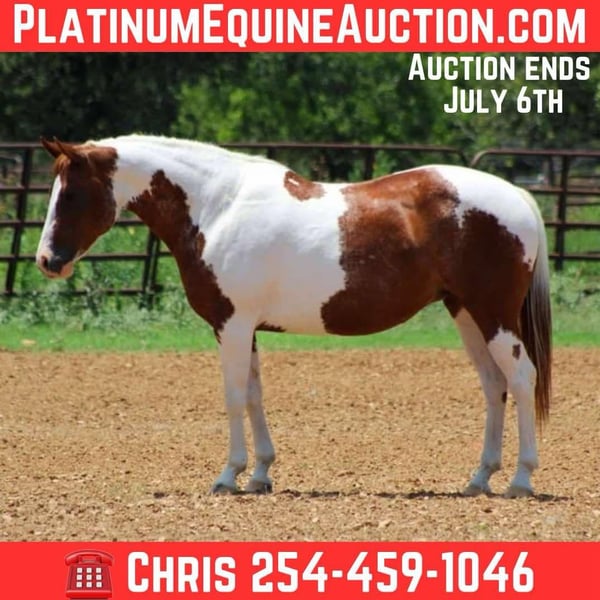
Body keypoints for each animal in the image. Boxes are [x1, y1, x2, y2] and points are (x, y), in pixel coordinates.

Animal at [36, 134, 552, 498]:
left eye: (71, 194)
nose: (46, 261)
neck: (217, 207)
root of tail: (519, 197)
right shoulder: (246, 328)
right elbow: (254, 396)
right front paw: (260, 473)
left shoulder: (231, 325)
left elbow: (233, 397)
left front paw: (229, 475)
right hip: (466, 312)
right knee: (494, 385)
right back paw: (479, 478)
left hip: (494, 315)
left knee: (521, 377)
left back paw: (521, 480)